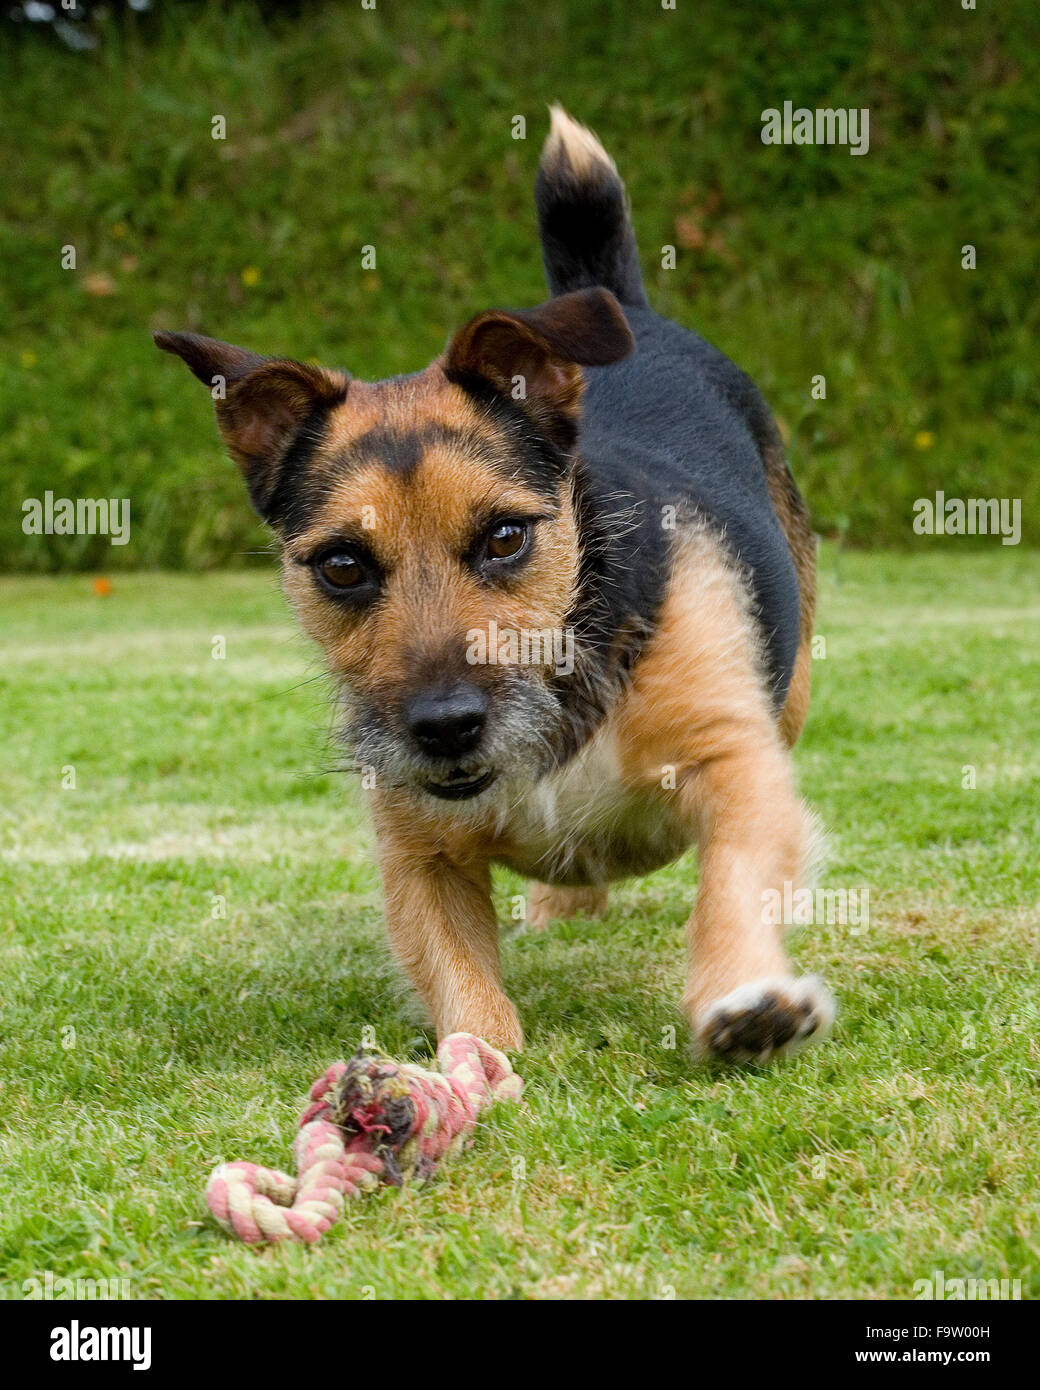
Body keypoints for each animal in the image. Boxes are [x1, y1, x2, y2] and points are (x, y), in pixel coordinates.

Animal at [156, 108, 834, 1061]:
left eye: (506, 538)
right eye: (342, 565)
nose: (444, 728)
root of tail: (618, 300)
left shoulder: (736, 761)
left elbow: (733, 882)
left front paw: (749, 1000)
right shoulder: (417, 853)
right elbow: (458, 977)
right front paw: (472, 1060)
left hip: (793, 683)